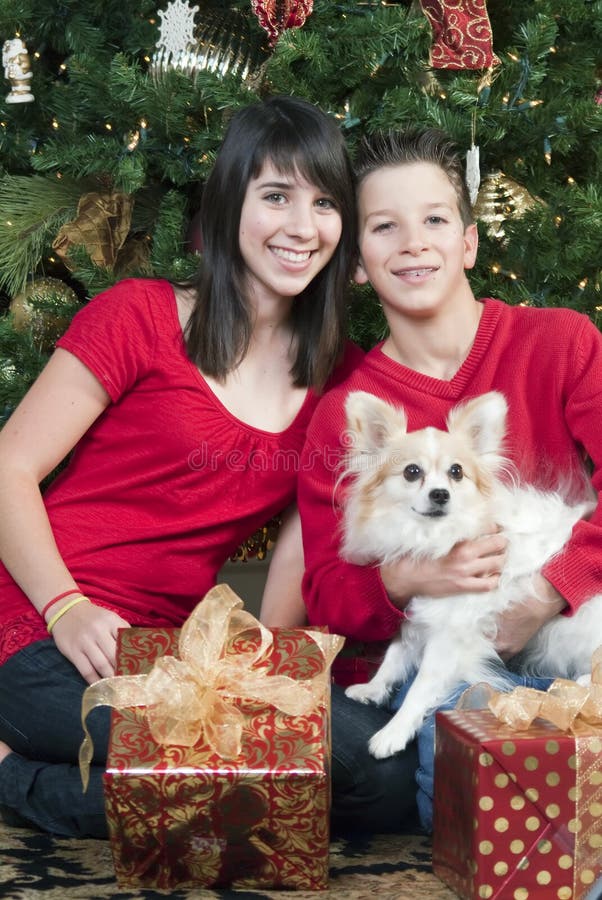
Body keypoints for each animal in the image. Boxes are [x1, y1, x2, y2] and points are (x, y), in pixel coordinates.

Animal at [340, 390, 596, 756]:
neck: (433, 537)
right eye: (411, 472)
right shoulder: (418, 613)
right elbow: (395, 653)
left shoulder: (452, 635)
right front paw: (373, 688)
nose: (440, 493)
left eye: (456, 472)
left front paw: (394, 731)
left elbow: (421, 686)